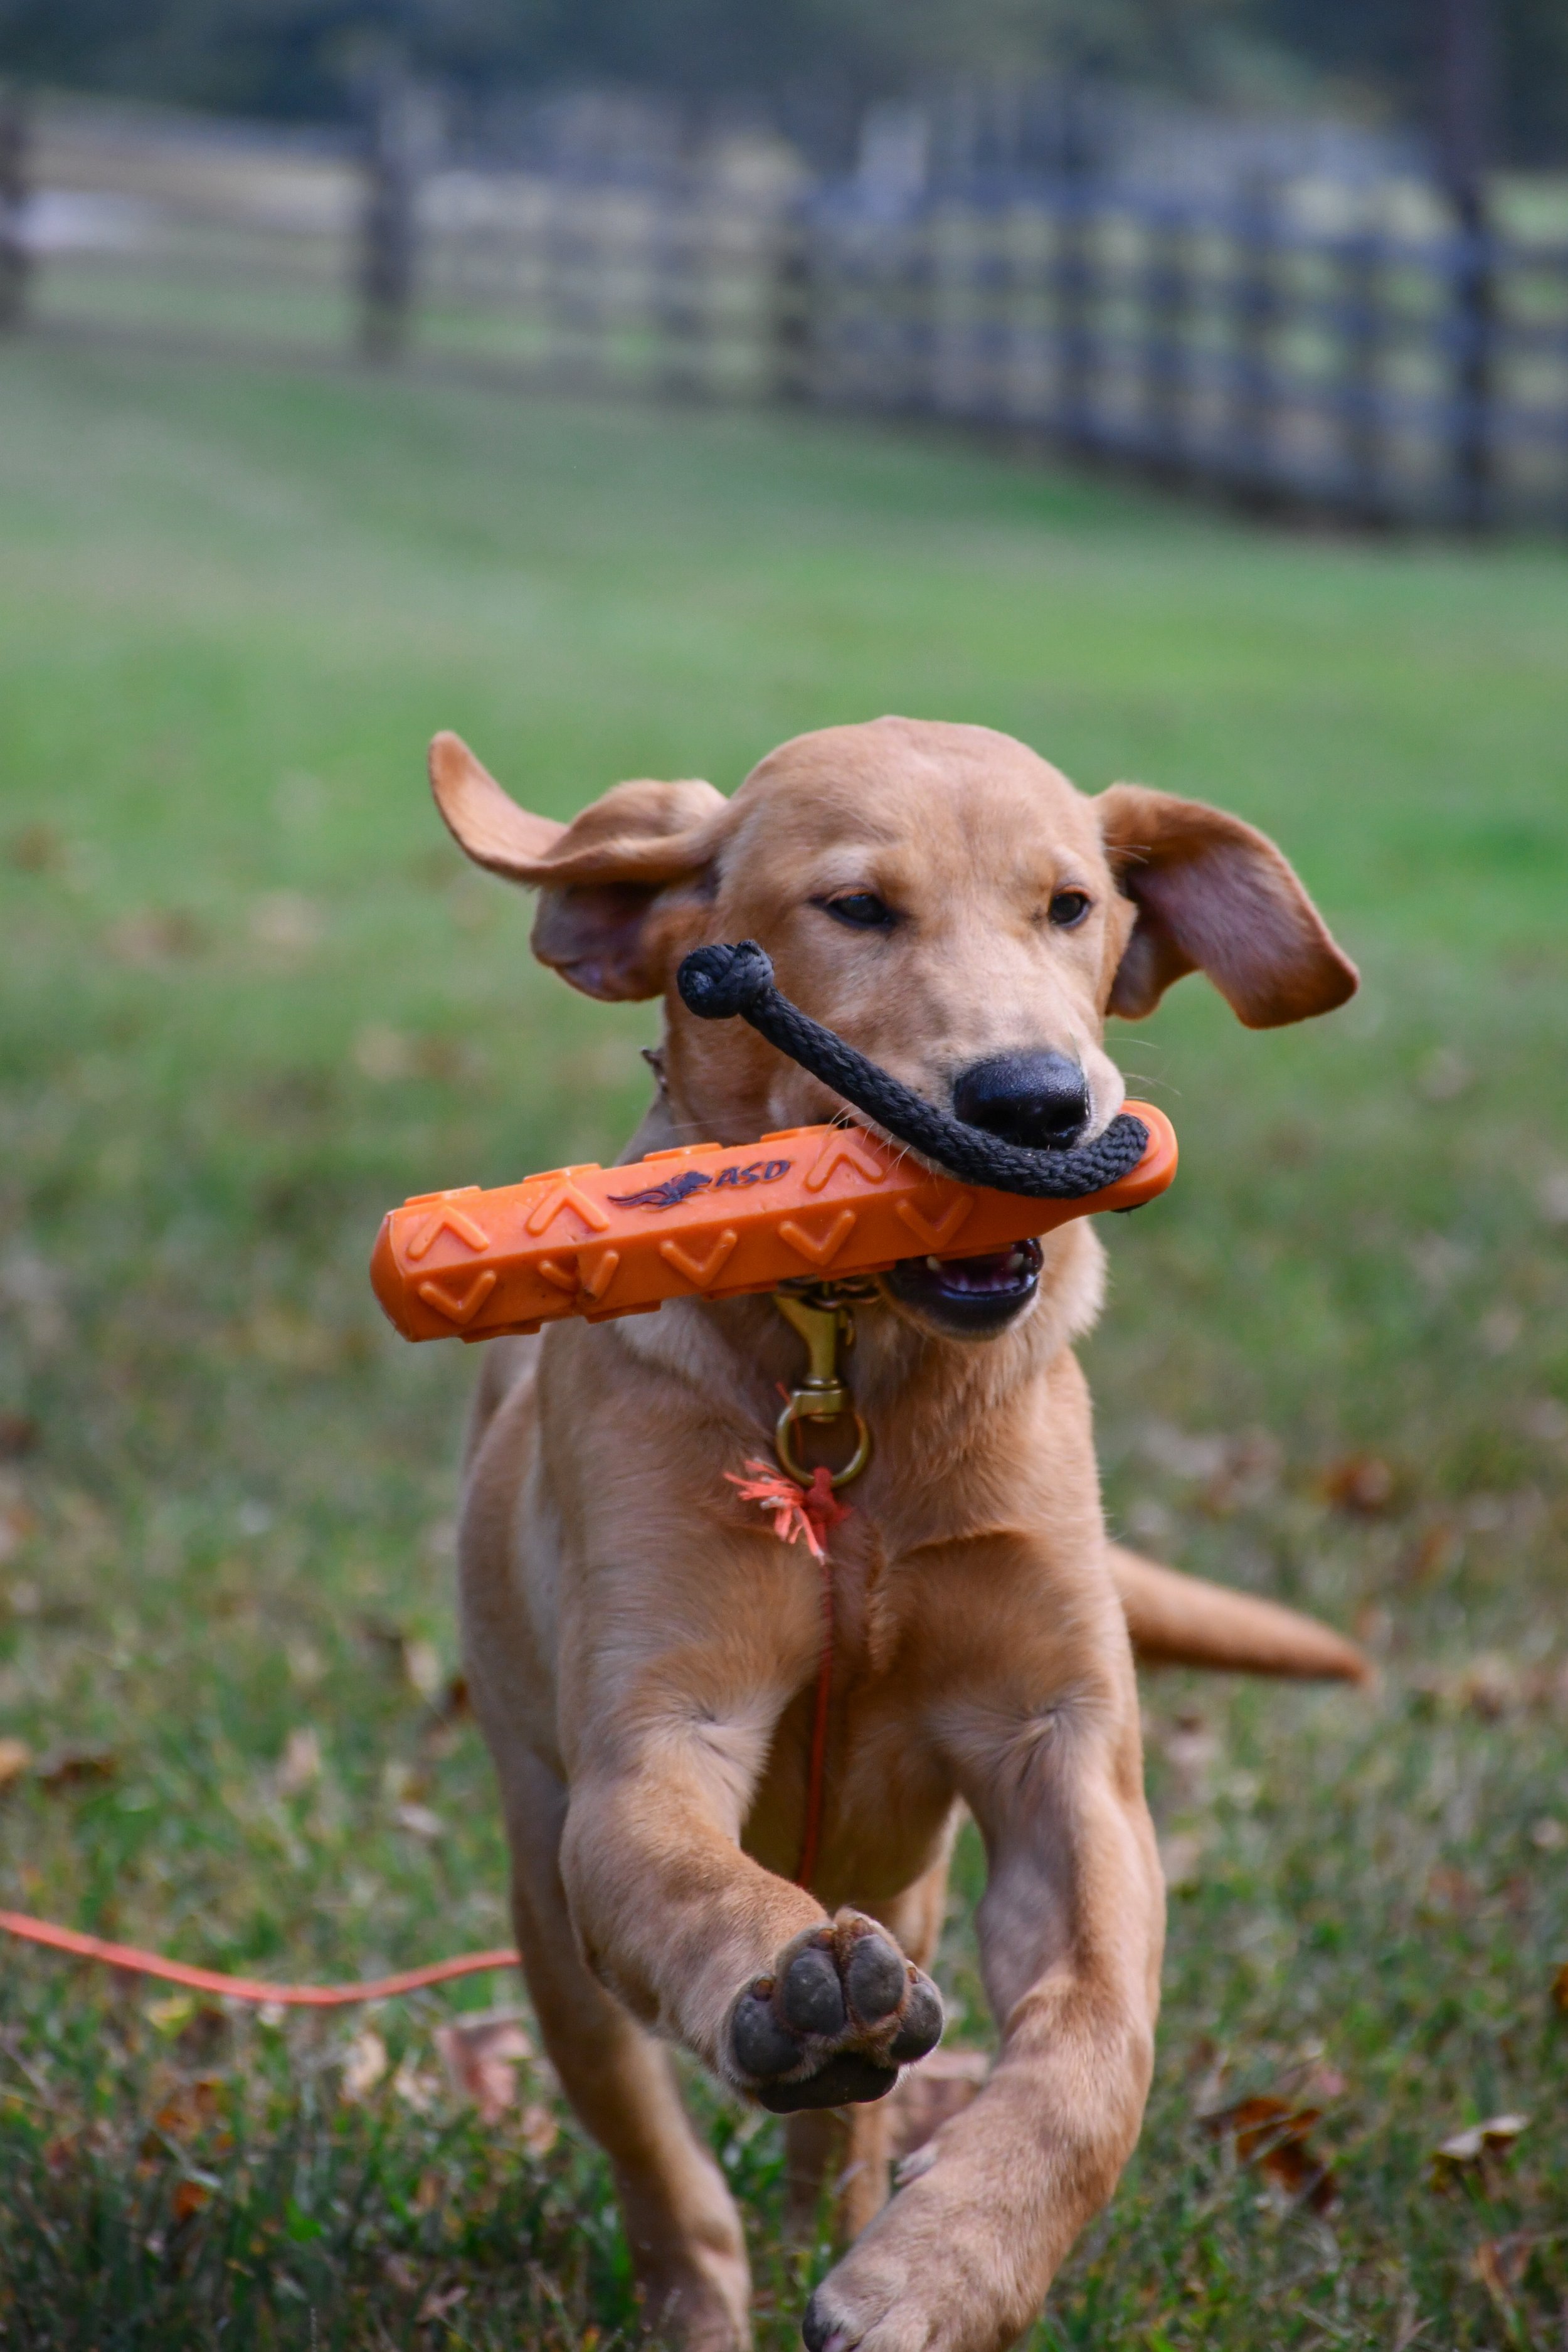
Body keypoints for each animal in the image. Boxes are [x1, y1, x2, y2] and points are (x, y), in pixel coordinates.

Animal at [430, 719, 1363, 2352]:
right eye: (855, 908)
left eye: (1070, 906)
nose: (1036, 1103)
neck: (844, 1369)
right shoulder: (652, 1740)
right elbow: (697, 1884)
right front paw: (780, 1983)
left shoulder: (1062, 1750)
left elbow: (1094, 2046)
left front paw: (947, 2269)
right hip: (545, 1902)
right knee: (661, 2164)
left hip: (905, 1874)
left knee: (841, 2130)